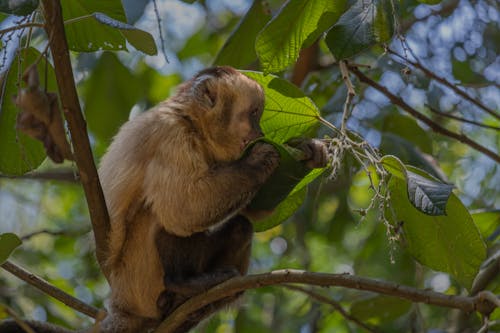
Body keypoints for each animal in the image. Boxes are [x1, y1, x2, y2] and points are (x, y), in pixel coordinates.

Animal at [0, 66, 328, 330]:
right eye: (254, 114)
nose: (260, 132)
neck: (192, 123)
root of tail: (118, 301)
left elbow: (254, 213)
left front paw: (308, 152)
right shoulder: (169, 135)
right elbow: (183, 210)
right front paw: (260, 158)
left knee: (240, 226)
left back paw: (200, 302)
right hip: (139, 282)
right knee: (160, 215)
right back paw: (182, 285)